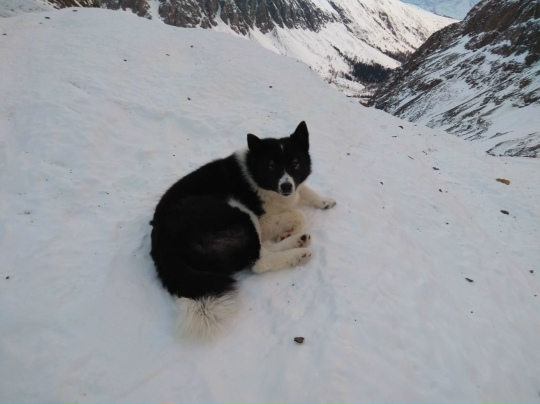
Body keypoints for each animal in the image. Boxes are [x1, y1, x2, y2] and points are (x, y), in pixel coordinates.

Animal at [150, 121, 336, 338]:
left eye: (295, 162)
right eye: (272, 165)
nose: (286, 186)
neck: (256, 176)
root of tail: (163, 248)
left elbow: (304, 191)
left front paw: (324, 201)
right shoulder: (262, 219)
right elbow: (299, 214)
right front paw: (290, 229)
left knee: (260, 250)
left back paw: (297, 240)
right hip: (236, 209)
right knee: (258, 261)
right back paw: (298, 252)